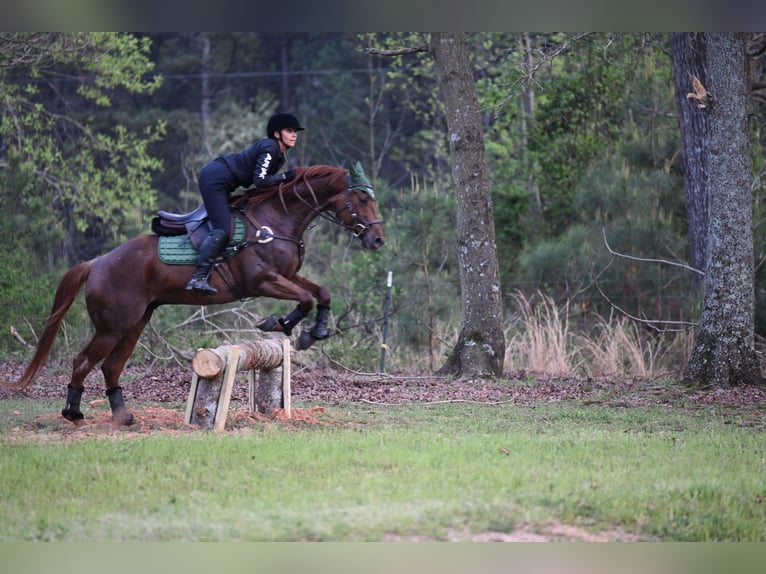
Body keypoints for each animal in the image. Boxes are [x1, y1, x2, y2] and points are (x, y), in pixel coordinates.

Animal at [0, 163, 384, 425]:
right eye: (363, 198)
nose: (377, 239)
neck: (276, 220)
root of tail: (96, 263)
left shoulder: (288, 275)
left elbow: (321, 293)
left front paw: (314, 332)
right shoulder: (263, 280)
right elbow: (304, 299)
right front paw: (281, 324)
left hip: (136, 322)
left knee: (111, 366)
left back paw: (122, 416)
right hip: (113, 326)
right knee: (83, 361)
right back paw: (73, 412)